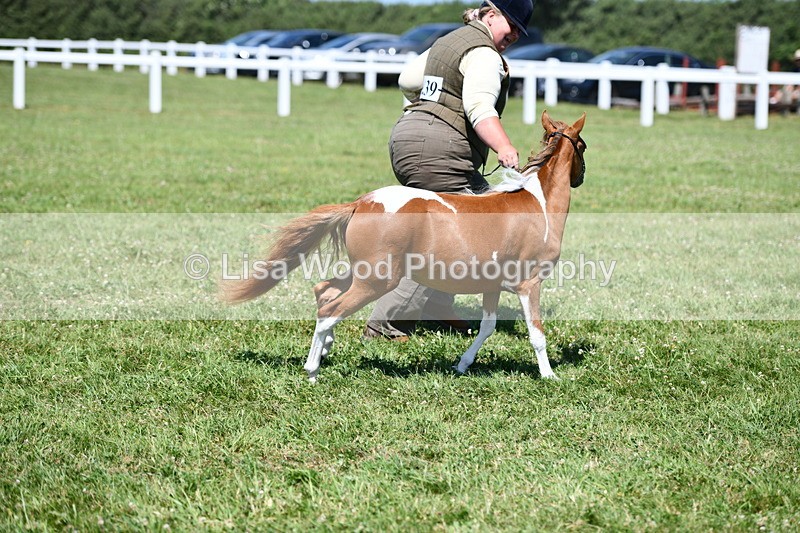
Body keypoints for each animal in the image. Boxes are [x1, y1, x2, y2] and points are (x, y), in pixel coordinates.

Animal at [221, 110, 587, 382]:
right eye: (583, 146)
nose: (581, 177)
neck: (537, 206)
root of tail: (361, 203)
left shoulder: (492, 286)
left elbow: (486, 327)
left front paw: (462, 364)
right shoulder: (529, 285)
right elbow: (536, 334)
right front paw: (549, 375)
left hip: (362, 272)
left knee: (324, 291)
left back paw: (324, 351)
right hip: (377, 280)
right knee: (330, 310)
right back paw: (312, 370)